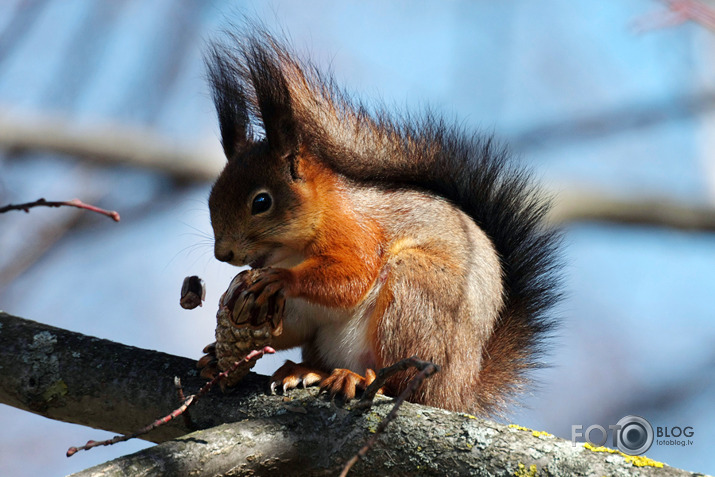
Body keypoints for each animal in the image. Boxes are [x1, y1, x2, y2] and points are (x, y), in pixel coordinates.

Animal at [204, 30, 564, 416]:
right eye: (211, 199)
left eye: (261, 202)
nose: (223, 254)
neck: (292, 249)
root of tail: (459, 391)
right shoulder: (302, 309)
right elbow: (296, 324)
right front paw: (219, 346)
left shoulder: (355, 230)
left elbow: (353, 275)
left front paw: (283, 279)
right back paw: (306, 371)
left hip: (415, 297)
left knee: (404, 382)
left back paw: (358, 379)